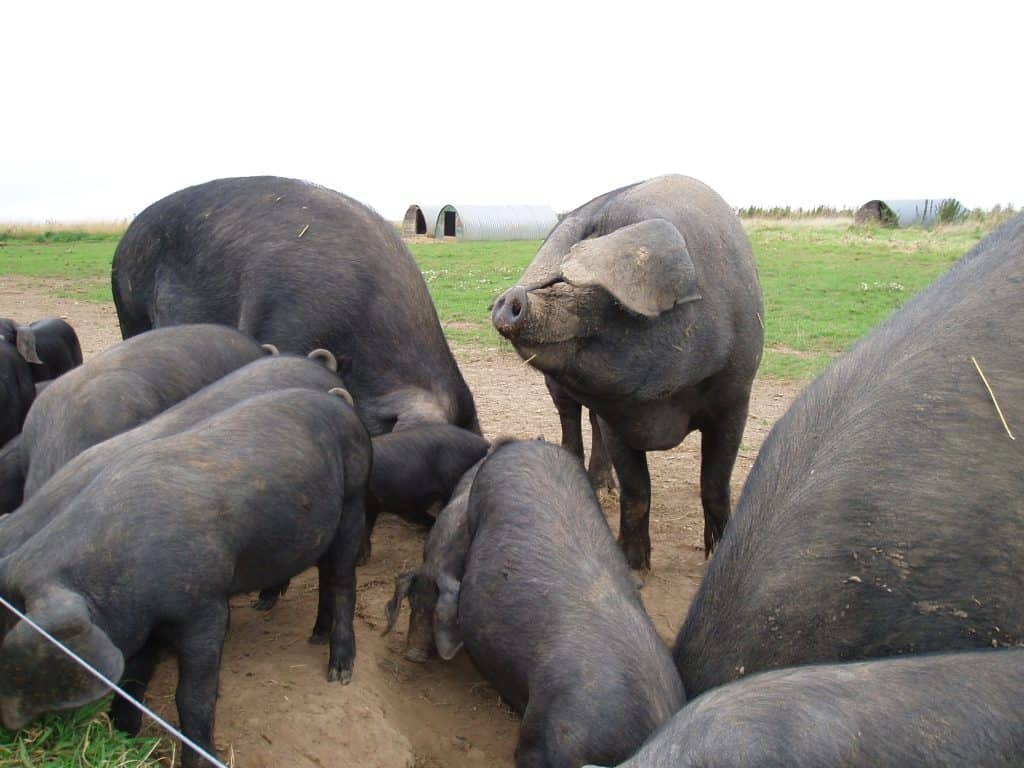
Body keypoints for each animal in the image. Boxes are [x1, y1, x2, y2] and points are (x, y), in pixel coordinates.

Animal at [0, 387, 371, 768]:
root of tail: (338, 401)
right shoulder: (141, 623)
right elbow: (133, 677)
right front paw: (124, 735)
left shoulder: (205, 607)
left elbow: (192, 696)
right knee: (326, 574)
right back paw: (315, 636)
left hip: (354, 499)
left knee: (343, 580)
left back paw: (339, 673)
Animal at [492, 175, 764, 572]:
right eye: (554, 278)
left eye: (604, 293)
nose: (511, 298)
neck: (665, 404)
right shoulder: (618, 416)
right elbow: (637, 491)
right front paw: (634, 568)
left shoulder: (736, 397)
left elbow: (714, 485)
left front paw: (714, 556)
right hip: (555, 387)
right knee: (570, 421)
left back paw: (602, 487)